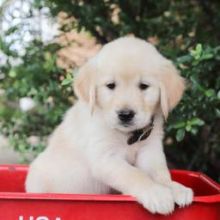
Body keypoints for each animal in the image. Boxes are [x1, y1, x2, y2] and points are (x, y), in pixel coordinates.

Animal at [26, 36, 192, 215]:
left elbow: (160, 173)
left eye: (144, 86)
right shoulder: (105, 158)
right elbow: (134, 174)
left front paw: (175, 188)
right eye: (111, 85)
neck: (128, 136)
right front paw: (156, 193)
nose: (125, 115)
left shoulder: (149, 150)